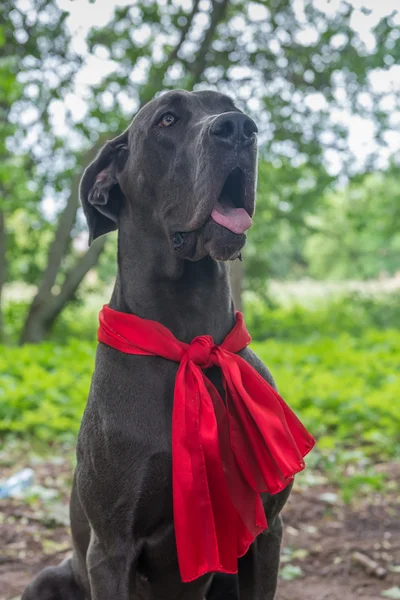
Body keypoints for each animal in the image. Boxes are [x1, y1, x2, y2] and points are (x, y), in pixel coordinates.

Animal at [22, 90, 296, 600]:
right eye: (167, 119)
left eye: (230, 105)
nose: (239, 128)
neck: (189, 340)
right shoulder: (110, 550)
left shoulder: (266, 530)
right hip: (48, 577)